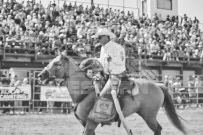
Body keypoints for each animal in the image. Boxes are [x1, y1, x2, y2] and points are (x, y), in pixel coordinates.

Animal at [37, 51, 186, 135]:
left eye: (57, 64)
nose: (40, 75)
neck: (85, 91)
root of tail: (158, 85)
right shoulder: (86, 124)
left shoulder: (91, 123)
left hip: (149, 115)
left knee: (157, 129)